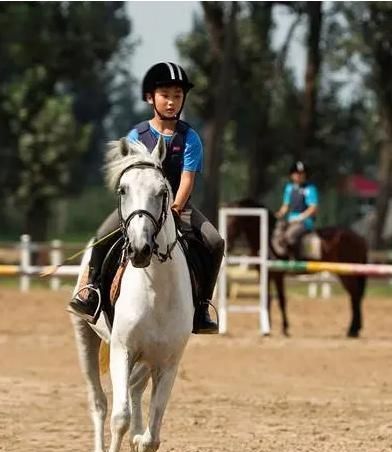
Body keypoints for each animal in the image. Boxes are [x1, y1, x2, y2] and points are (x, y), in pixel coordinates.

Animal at [71, 137, 194, 452]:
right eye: (122, 190)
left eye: (162, 192)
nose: (140, 249)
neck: (156, 290)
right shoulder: (122, 349)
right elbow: (120, 418)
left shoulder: (168, 362)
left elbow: (152, 435)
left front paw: (140, 439)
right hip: (85, 334)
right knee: (100, 403)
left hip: (147, 359)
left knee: (135, 390)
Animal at [225, 198, 370, 336]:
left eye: (234, 221)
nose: (229, 245)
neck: (267, 239)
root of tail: (360, 238)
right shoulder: (265, 275)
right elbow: (268, 300)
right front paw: (270, 327)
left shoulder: (277, 275)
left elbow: (281, 300)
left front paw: (283, 328)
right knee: (355, 296)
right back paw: (355, 329)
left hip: (346, 274)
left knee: (355, 296)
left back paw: (352, 330)